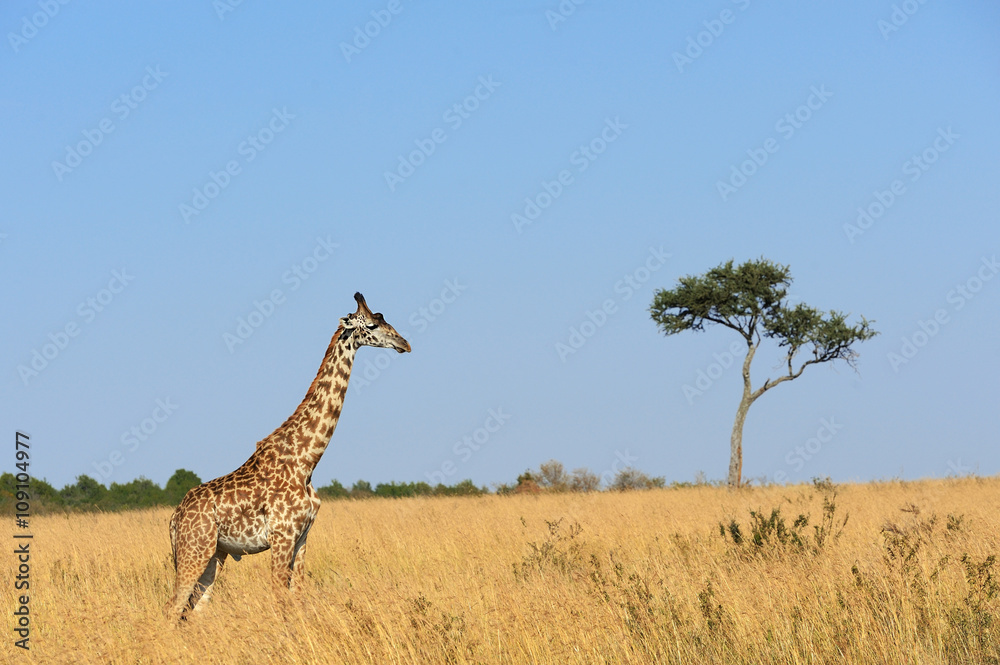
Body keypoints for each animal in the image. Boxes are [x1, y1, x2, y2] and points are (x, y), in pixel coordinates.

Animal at [164, 292, 410, 621]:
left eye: (384, 318)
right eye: (372, 324)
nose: (404, 343)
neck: (307, 460)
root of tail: (174, 518)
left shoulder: (302, 538)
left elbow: (298, 597)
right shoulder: (282, 537)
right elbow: (280, 601)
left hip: (215, 555)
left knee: (194, 611)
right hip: (194, 550)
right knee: (171, 608)